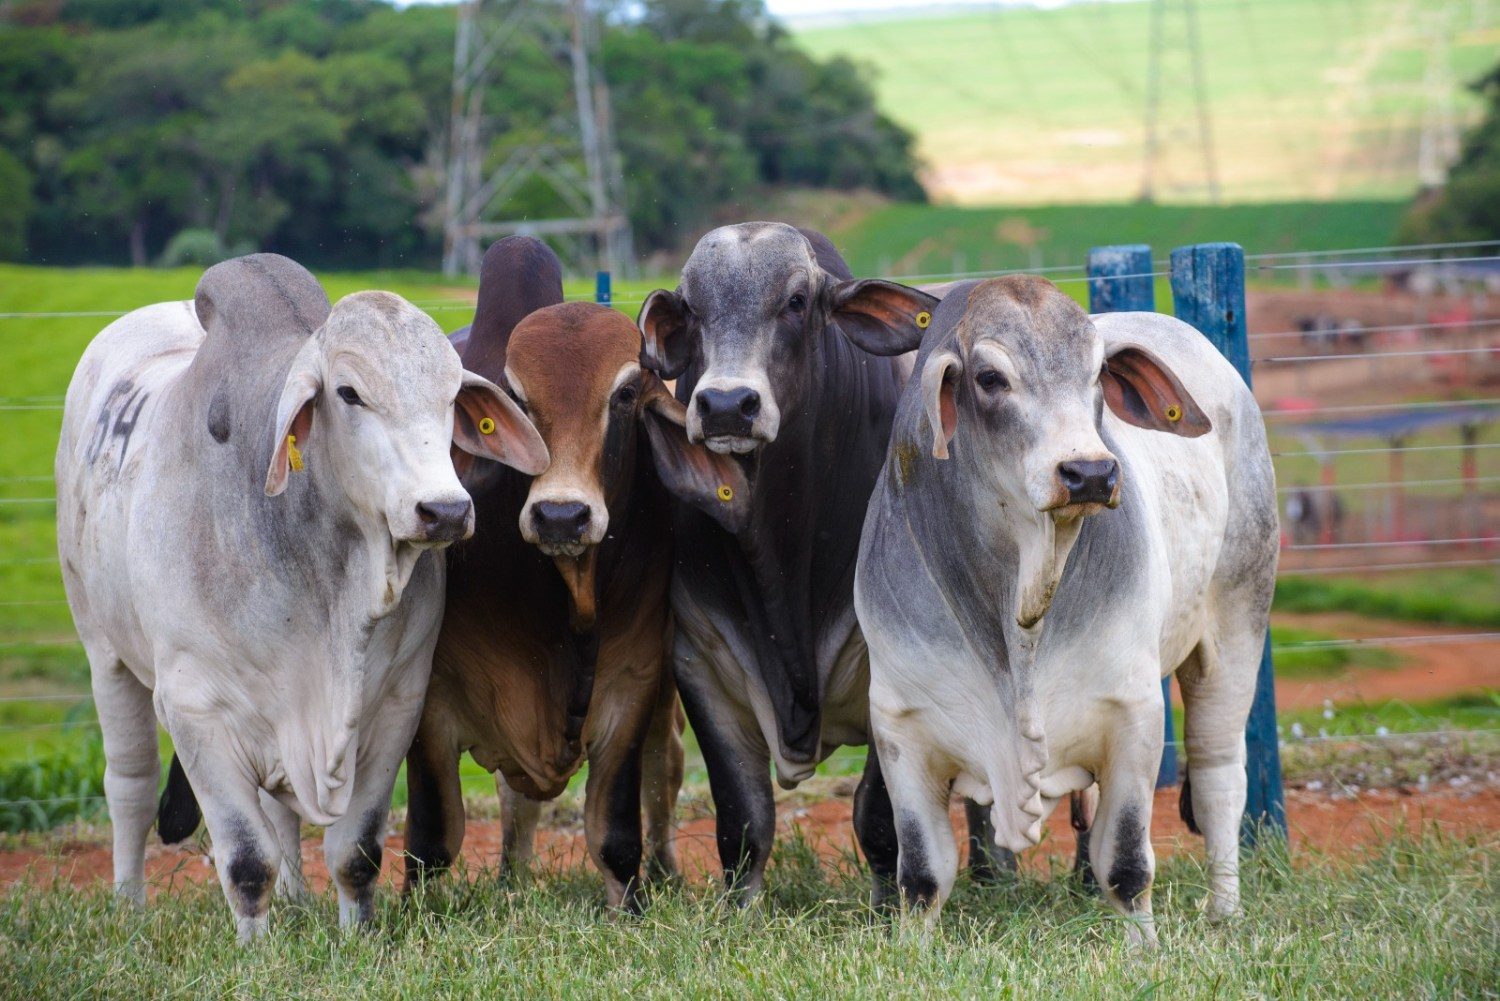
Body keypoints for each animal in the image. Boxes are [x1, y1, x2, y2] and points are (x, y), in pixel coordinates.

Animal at [60, 252, 552, 942]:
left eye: (453, 395)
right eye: (349, 393)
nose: (446, 510)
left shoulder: (396, 705)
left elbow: (356, 851)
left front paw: (357, 936)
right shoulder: (196, 712)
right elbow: (246, 860)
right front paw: (255, 950)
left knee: (281, 813)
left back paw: (296, 902)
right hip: (103, 651)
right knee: (128, 786)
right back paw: (129, 906)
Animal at [405, 237, 744, 906]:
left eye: (625, 395)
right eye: (514, 400)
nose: (561, 515)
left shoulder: (634, 682)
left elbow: (614, 830)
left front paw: (632, 907)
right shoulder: (426, 701)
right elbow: (431, 839)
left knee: (664, 768)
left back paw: (666, 872)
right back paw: (511, 880)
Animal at [846, 274, 1278, 948]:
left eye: (1099, 374)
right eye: (990, 378)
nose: (1090, 472)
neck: (1018, 607)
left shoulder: (1133, 714)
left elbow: (1126, 865)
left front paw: (1145, 951)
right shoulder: (900, 725)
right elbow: (921, 874)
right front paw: (911, 952)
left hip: (1236, 627)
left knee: (1218, 779)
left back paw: (1224, 912)